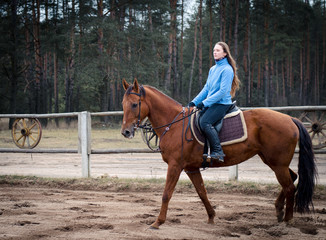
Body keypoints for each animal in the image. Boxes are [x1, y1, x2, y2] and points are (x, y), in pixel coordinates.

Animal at [119, 78, 316, 229]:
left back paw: (288, 220)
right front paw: (211, 217)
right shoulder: (191, 168)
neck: (175, 124)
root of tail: (291, 119)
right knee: (292, 178)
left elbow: (167, 193)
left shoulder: (175, 166)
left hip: (278, 164)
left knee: (289, 186)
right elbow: (202, 192)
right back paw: (278, 209)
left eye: (135, 104)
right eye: (123, 105)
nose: (126, 132)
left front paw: (158, 222)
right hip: (273, 161)